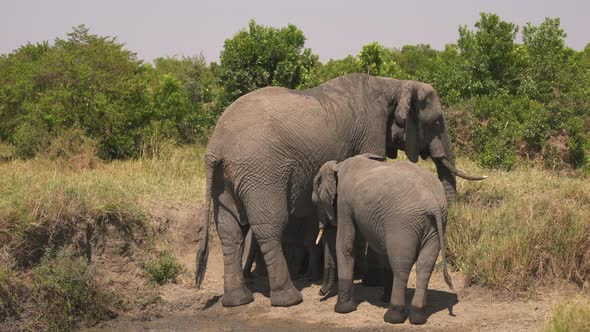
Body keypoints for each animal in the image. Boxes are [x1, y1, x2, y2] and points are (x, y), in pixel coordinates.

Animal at [197, 74, 484, 308]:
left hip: (226, 178)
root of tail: (216, 146)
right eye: (436, 123)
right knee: (269, 228)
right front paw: (371, 281)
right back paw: (289, 300)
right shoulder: (370, 130)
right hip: (261, 172)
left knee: (230, 231)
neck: (394, 84)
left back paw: (237, 300)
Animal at [312, 154, 456, 326]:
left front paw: (342, 309)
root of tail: (432, 202)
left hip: (403, 224)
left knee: (401, 266)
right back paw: (418, 318)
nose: (320, 292)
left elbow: (346, 245)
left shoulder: (344, 203)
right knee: (424, 266)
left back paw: (393, 317)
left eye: (316, 202)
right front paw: (383, 299)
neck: (338, 165)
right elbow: (382, 250)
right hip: (434, 226)